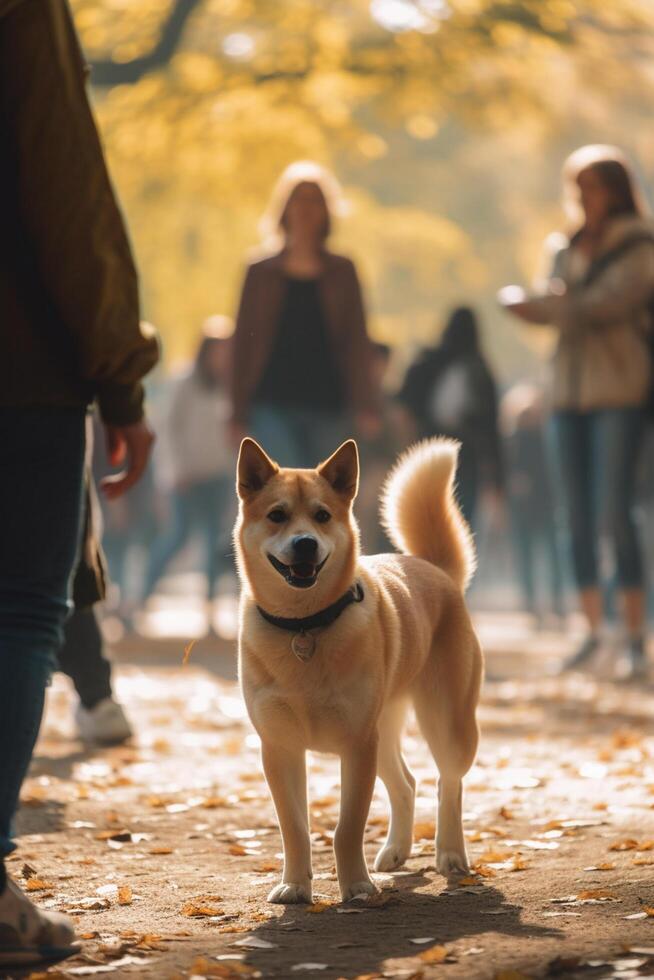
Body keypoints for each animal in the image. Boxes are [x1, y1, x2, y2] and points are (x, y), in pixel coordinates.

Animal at [234, 436, 482, 904]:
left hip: (446, 725)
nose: (305, 544)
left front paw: (356, 887)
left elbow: (347, 827)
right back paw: (396, 851)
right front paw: (295, 886)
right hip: (383, 732)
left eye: (322, 515)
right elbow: (294, 828)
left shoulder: (357, 745)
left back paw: (450, 853)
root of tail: (433, 568)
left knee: (449, 783)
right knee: (407, 785)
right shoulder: (280, 748)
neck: (305, 626)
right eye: (277, 515)